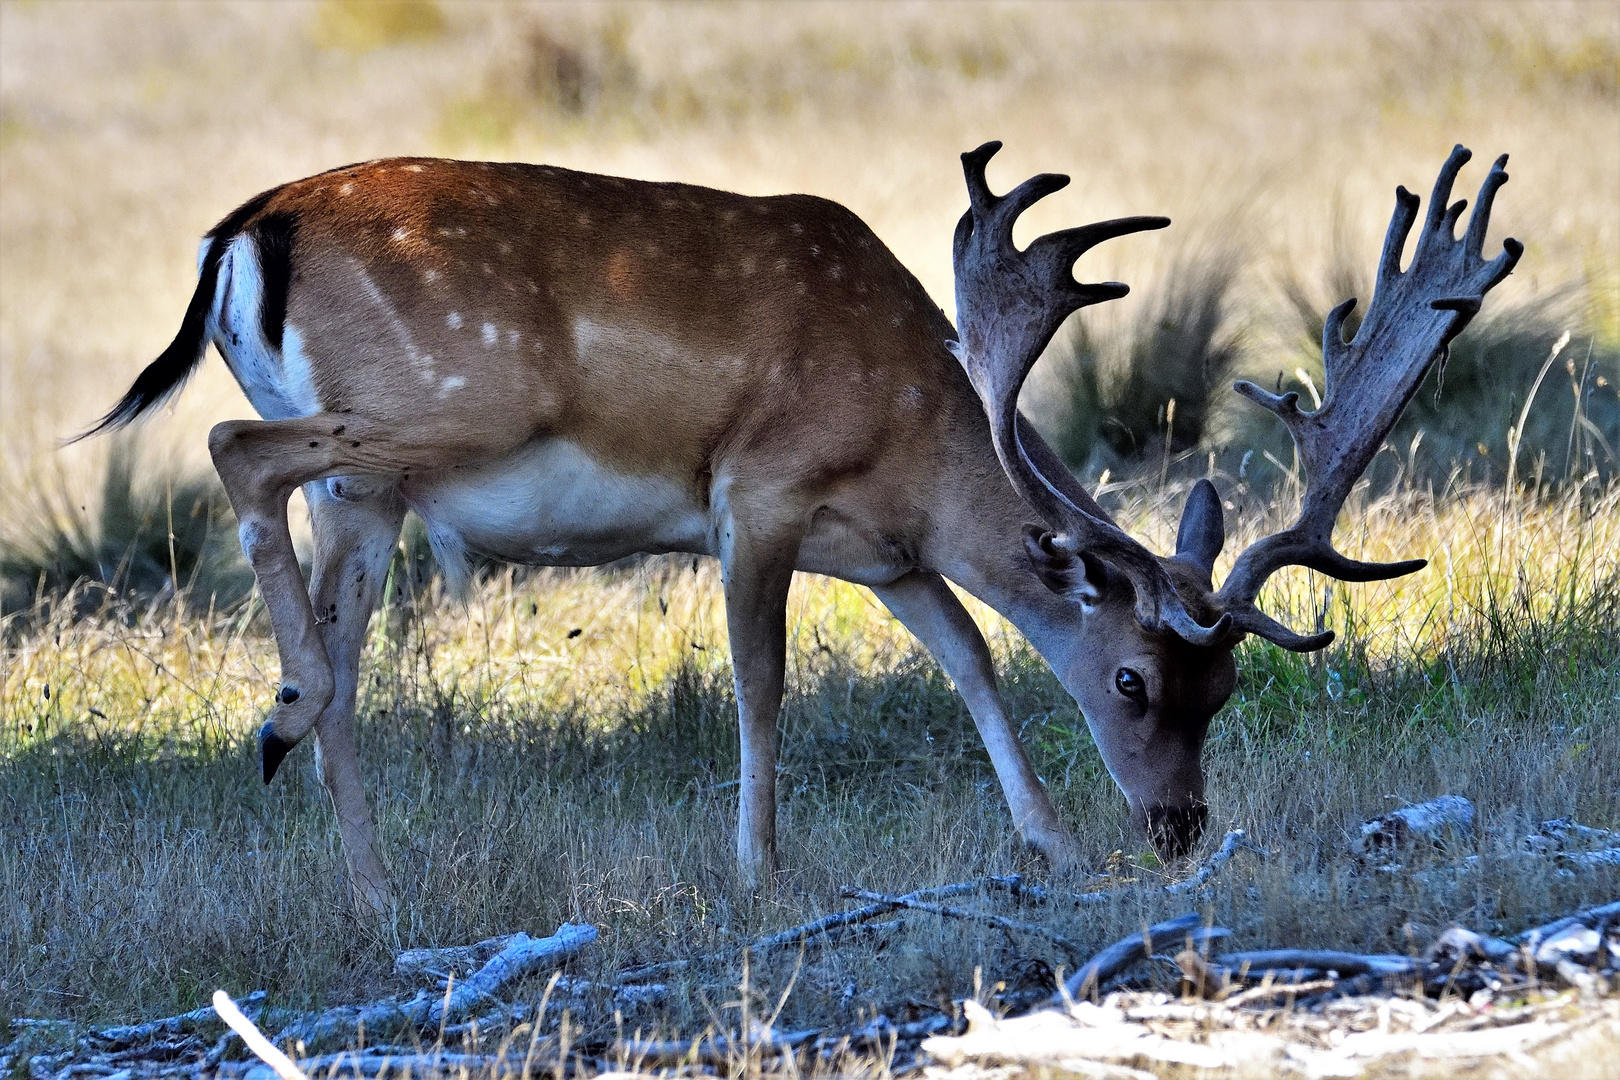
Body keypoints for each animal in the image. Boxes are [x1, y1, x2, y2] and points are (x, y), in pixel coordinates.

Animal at [78, 139, 1516, 919]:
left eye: (1222, 690)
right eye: (1133, 678)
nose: (1177, 827)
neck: (916, 429)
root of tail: (240, 234)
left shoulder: (887, 555)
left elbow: (973, 660)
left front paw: (1047, 843)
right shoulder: (756, 494)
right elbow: (762, 683)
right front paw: (760, 872)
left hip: (376, 492)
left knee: (342, 644)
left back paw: (363, 867)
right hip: (440, 411)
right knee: (234, 453)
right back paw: (281, 713)